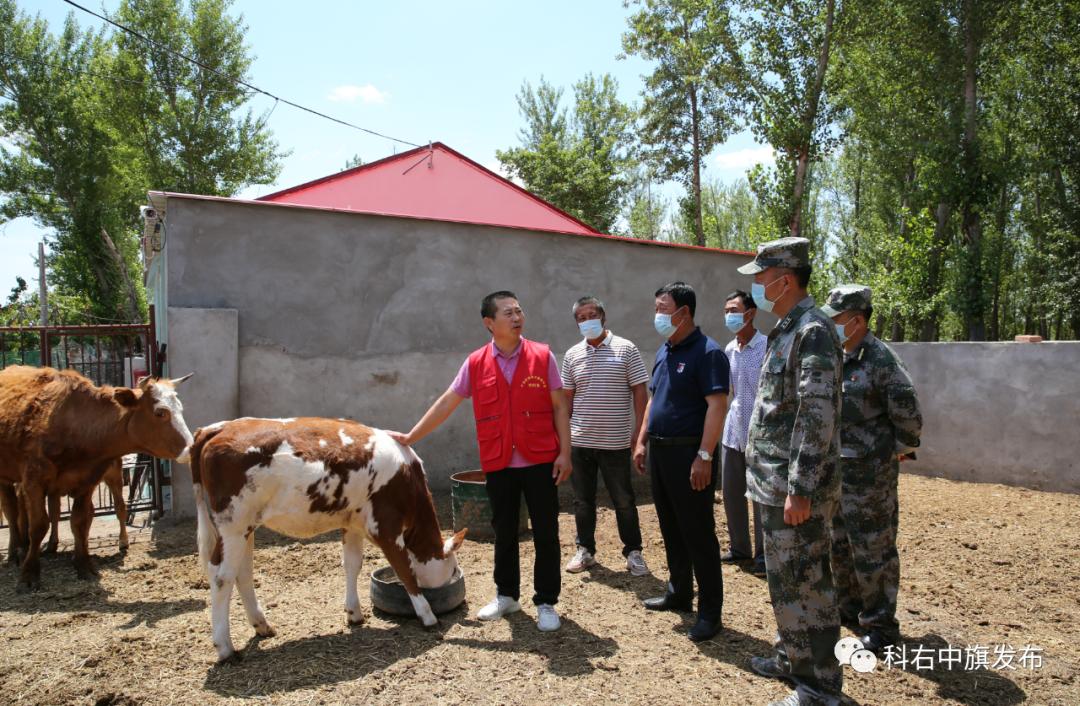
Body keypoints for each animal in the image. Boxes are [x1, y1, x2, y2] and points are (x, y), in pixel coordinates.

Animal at [187, 416, 466, 664]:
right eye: (453, 569)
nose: (451, 579)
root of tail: (217, 428)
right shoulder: (385, 525)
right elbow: (404, 570)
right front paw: (428, 615)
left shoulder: (353, 522)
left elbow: (352, 564)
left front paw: (354, 613)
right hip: (232, 526)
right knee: (221, 577)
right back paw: (225, 648)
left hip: (246, 527)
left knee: (242, 573)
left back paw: (262, 625)